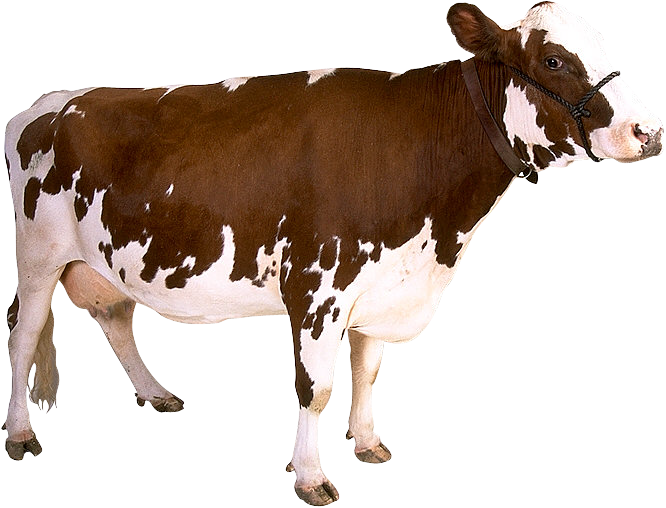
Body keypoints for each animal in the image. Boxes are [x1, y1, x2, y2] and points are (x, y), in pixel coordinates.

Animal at [3, 1, 662, 505]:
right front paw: (311, 476)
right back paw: (18, 432)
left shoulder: (383, 284)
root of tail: (48, 102)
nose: (649, 132)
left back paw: (155, 392)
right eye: (553, 60)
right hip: (38, 254)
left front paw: (367, 442)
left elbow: (367, 370)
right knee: (23, 331)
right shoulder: (319, 285)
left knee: (114, 315)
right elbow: (314, 386)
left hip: (100, 258)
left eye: (602, 46)